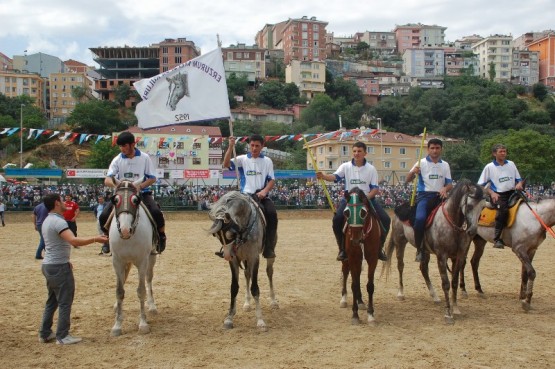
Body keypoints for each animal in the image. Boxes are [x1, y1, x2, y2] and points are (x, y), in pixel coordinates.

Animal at [108, 177, 157, 334]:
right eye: (115, 200)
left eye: (136, 200)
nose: (124, 230)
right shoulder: (117, 261)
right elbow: (119, 291)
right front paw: (117, 325)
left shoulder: (142, 261)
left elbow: (141, 291)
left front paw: (143, 324)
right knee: (124, 278)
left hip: (151, 259)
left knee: (148, 279)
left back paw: (152, 305)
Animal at [207, 191, 280, 330]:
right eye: (217, 236)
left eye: (230, 234)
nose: (226, 256)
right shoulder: (235, 261)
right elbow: (234, 287)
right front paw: (229, 318)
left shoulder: (254, 257)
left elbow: (255, 288)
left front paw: (260, 320)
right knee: (247, 275)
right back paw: (247, 304)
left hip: (269, 254)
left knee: (269, 272)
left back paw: (273, 301)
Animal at [338, 187, 382, 324]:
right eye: (346, 212)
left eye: (363, 212)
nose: (355, 240)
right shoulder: (353, 258)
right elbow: (354, 284)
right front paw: (355, 315)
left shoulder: (372, 259)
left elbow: (370, 286)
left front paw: (371, 314)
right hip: (347, 259)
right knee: (346, 273)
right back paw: (344, 299)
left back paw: (361, 301)